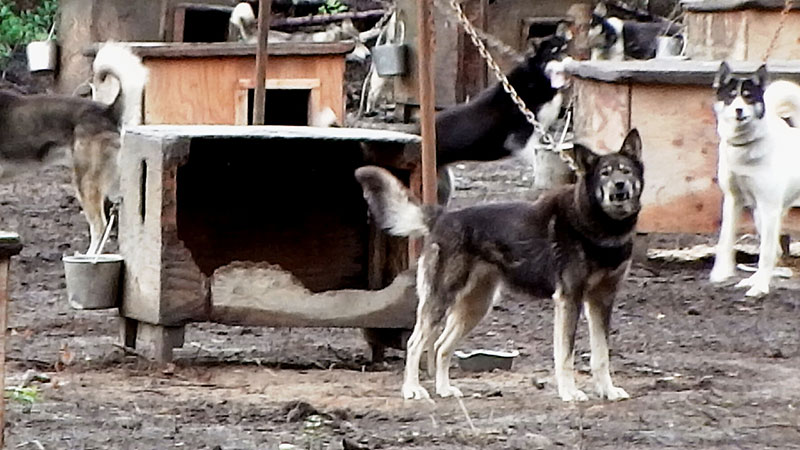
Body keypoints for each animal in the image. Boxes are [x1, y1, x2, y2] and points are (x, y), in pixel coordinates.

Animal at [356, 128, 644, 402]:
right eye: (605, 174)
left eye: (626, 171)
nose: (619, 186)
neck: (600, 226)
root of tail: (442, 216)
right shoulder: (569, 300)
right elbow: (566, 355)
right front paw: (570, 393)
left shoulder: (601, 301)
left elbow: (601, 355)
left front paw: (608, 391)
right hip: (441, 301)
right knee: (415, 343)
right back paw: (412, 390)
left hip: (476, 307)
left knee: (440, 346)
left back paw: (444, 389)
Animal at [708, 61, 800, 298]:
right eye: (732, 96)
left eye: (748, 97)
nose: (738, 110)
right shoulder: (733, 201)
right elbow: (725, 241)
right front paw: (722, 272)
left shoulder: (769, 207)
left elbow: (765, 253)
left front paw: (760, 288)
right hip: (760, 215)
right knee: (776, 250)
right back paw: (751, 280)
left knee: (772, 250)